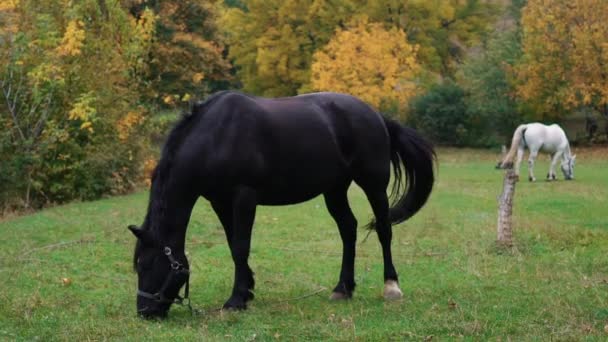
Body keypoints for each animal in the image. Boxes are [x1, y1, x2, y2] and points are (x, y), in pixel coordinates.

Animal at [128, 91, 434, 318]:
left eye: (147, 265)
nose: (145, 311)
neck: (216, 136)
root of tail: (378, 116)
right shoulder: (220, 201)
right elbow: (232, 244)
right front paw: (247, 290)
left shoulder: (244, 197)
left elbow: (241, 247)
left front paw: (236, 300)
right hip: (335, 189)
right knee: (348, 229)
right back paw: (343, 288)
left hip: (373, 184)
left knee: (384, 230)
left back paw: (391, 287)